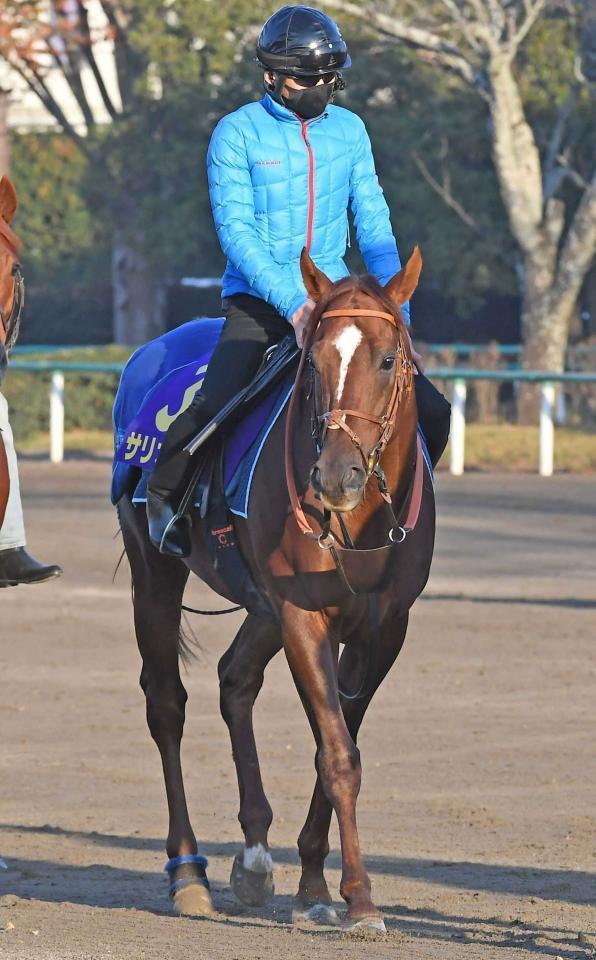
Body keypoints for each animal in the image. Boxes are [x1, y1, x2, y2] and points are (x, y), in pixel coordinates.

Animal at [117, 248, 434, 928]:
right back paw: (189, 872)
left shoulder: (383, 630)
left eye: (388, 359)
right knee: (167, 704)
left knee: (235, 679)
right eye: (313, 364)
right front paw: (359, 897)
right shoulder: (302, 616)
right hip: (154, 569)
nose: (335, 476)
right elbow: (338, 754)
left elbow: (338, 741)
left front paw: (314, 884)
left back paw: (256, 855)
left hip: (261, 607)